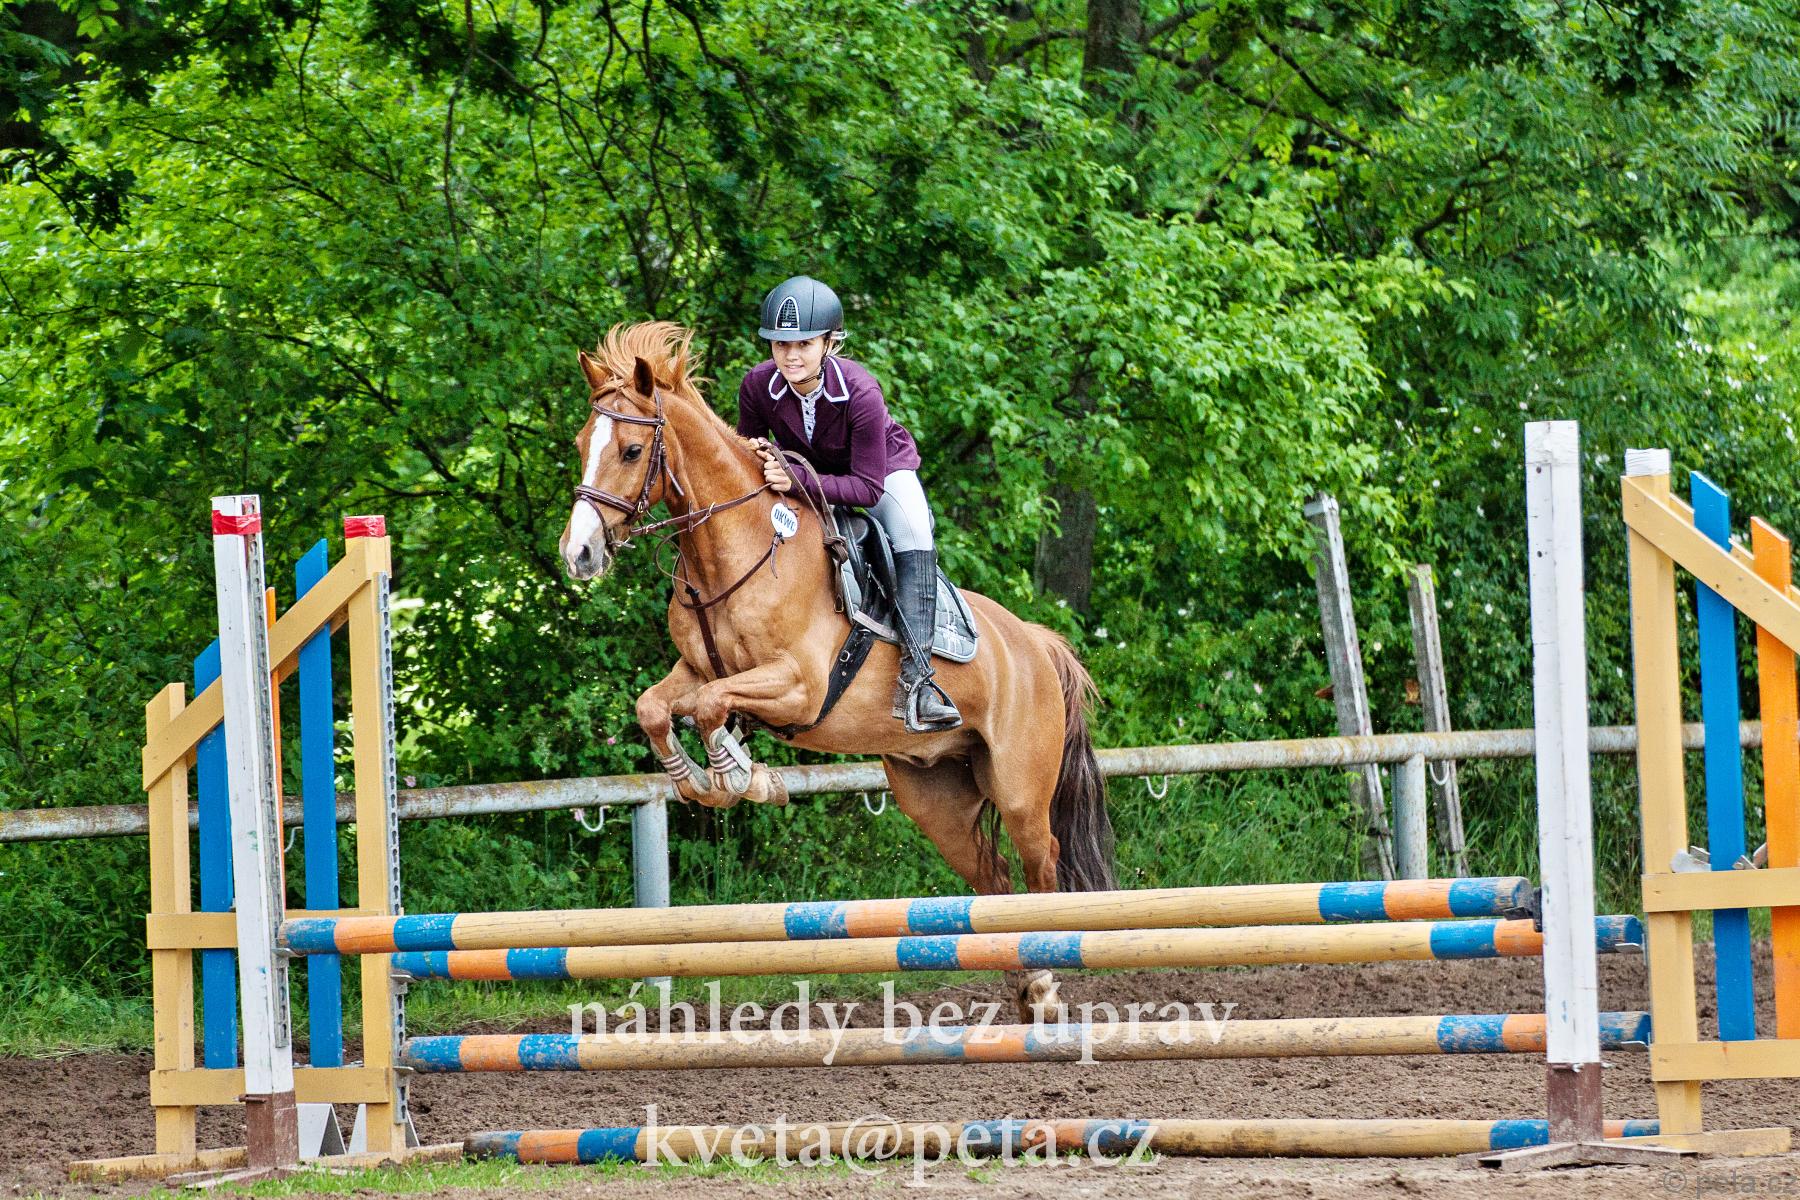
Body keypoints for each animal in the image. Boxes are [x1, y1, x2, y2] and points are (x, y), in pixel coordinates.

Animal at [558, 321, 1115, 1019]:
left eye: (632, 450)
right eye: (582, 444)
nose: (578, 553)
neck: (739, 546)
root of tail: (1036, 644)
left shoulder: (800, 685)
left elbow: (712, 707)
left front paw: (741, 776)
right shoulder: (696, 668)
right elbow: (657, 706)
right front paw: (701, 779)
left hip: (1018, 789)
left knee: (1043, 869)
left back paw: (1044, 991)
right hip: (935, 796)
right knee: (993, 876)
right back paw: (1026, 986)